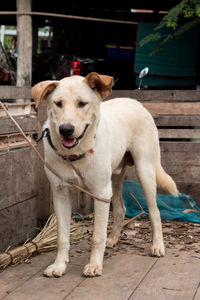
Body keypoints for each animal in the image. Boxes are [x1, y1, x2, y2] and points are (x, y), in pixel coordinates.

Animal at [32, 71, 177, 278]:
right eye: (58, 103)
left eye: (82, 103)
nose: (66, 129)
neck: (75, 155)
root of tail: (136, 102)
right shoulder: (60, 193)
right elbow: (62, 236)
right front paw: (59, 265)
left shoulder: (100, 192)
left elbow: (97, 236)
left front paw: (94, 265)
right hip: (114, 179)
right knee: (120, 209)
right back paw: (113, 239)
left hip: (145, 172)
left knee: (155, 212)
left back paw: (157, 246)